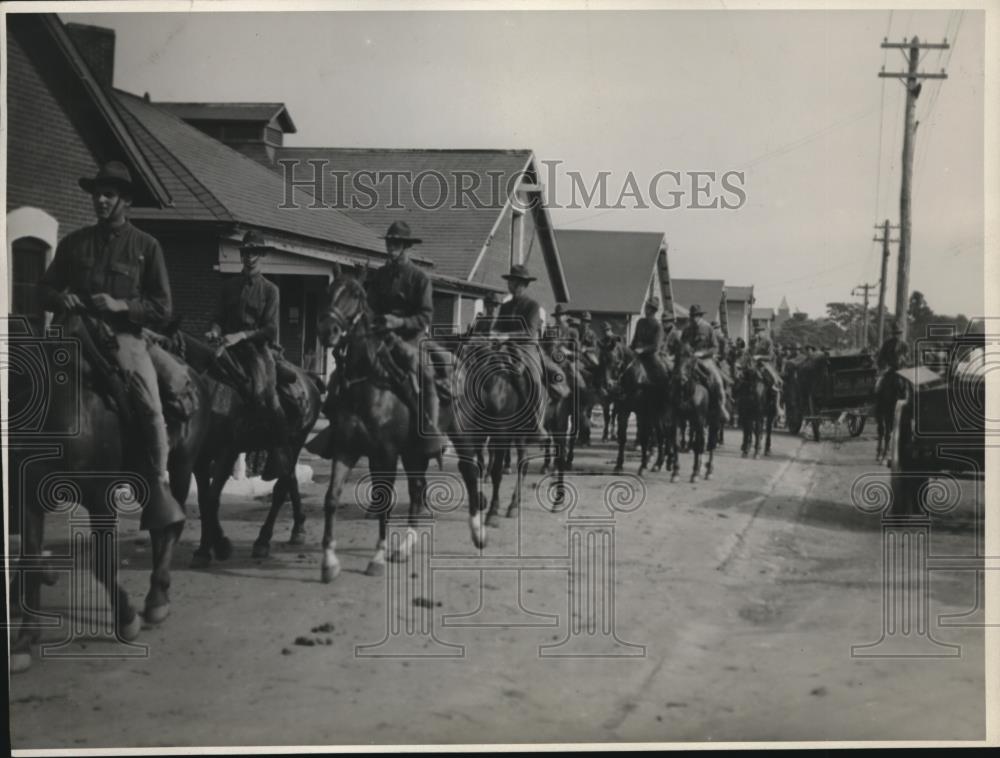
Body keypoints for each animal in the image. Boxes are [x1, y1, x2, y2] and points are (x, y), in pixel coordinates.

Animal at [7, 314, 212, 676]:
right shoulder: (30, 496)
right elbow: (30, 558)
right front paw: (24, 640)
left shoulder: (100, 497)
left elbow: (102, 563)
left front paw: (126, 619)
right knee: (159, 527)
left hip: (181, 465)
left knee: (172, 524)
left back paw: (157, 599)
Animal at [162, 330, 322, 568]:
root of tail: (308, 379)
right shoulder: (201, 458)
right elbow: (204, 500)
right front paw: (212, 545)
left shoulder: (226, 454)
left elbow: (211, 499)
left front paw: (212, 547)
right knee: (290, 479)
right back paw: (298, 528)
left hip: (296, 441)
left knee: (280, 488)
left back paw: (263, 540)